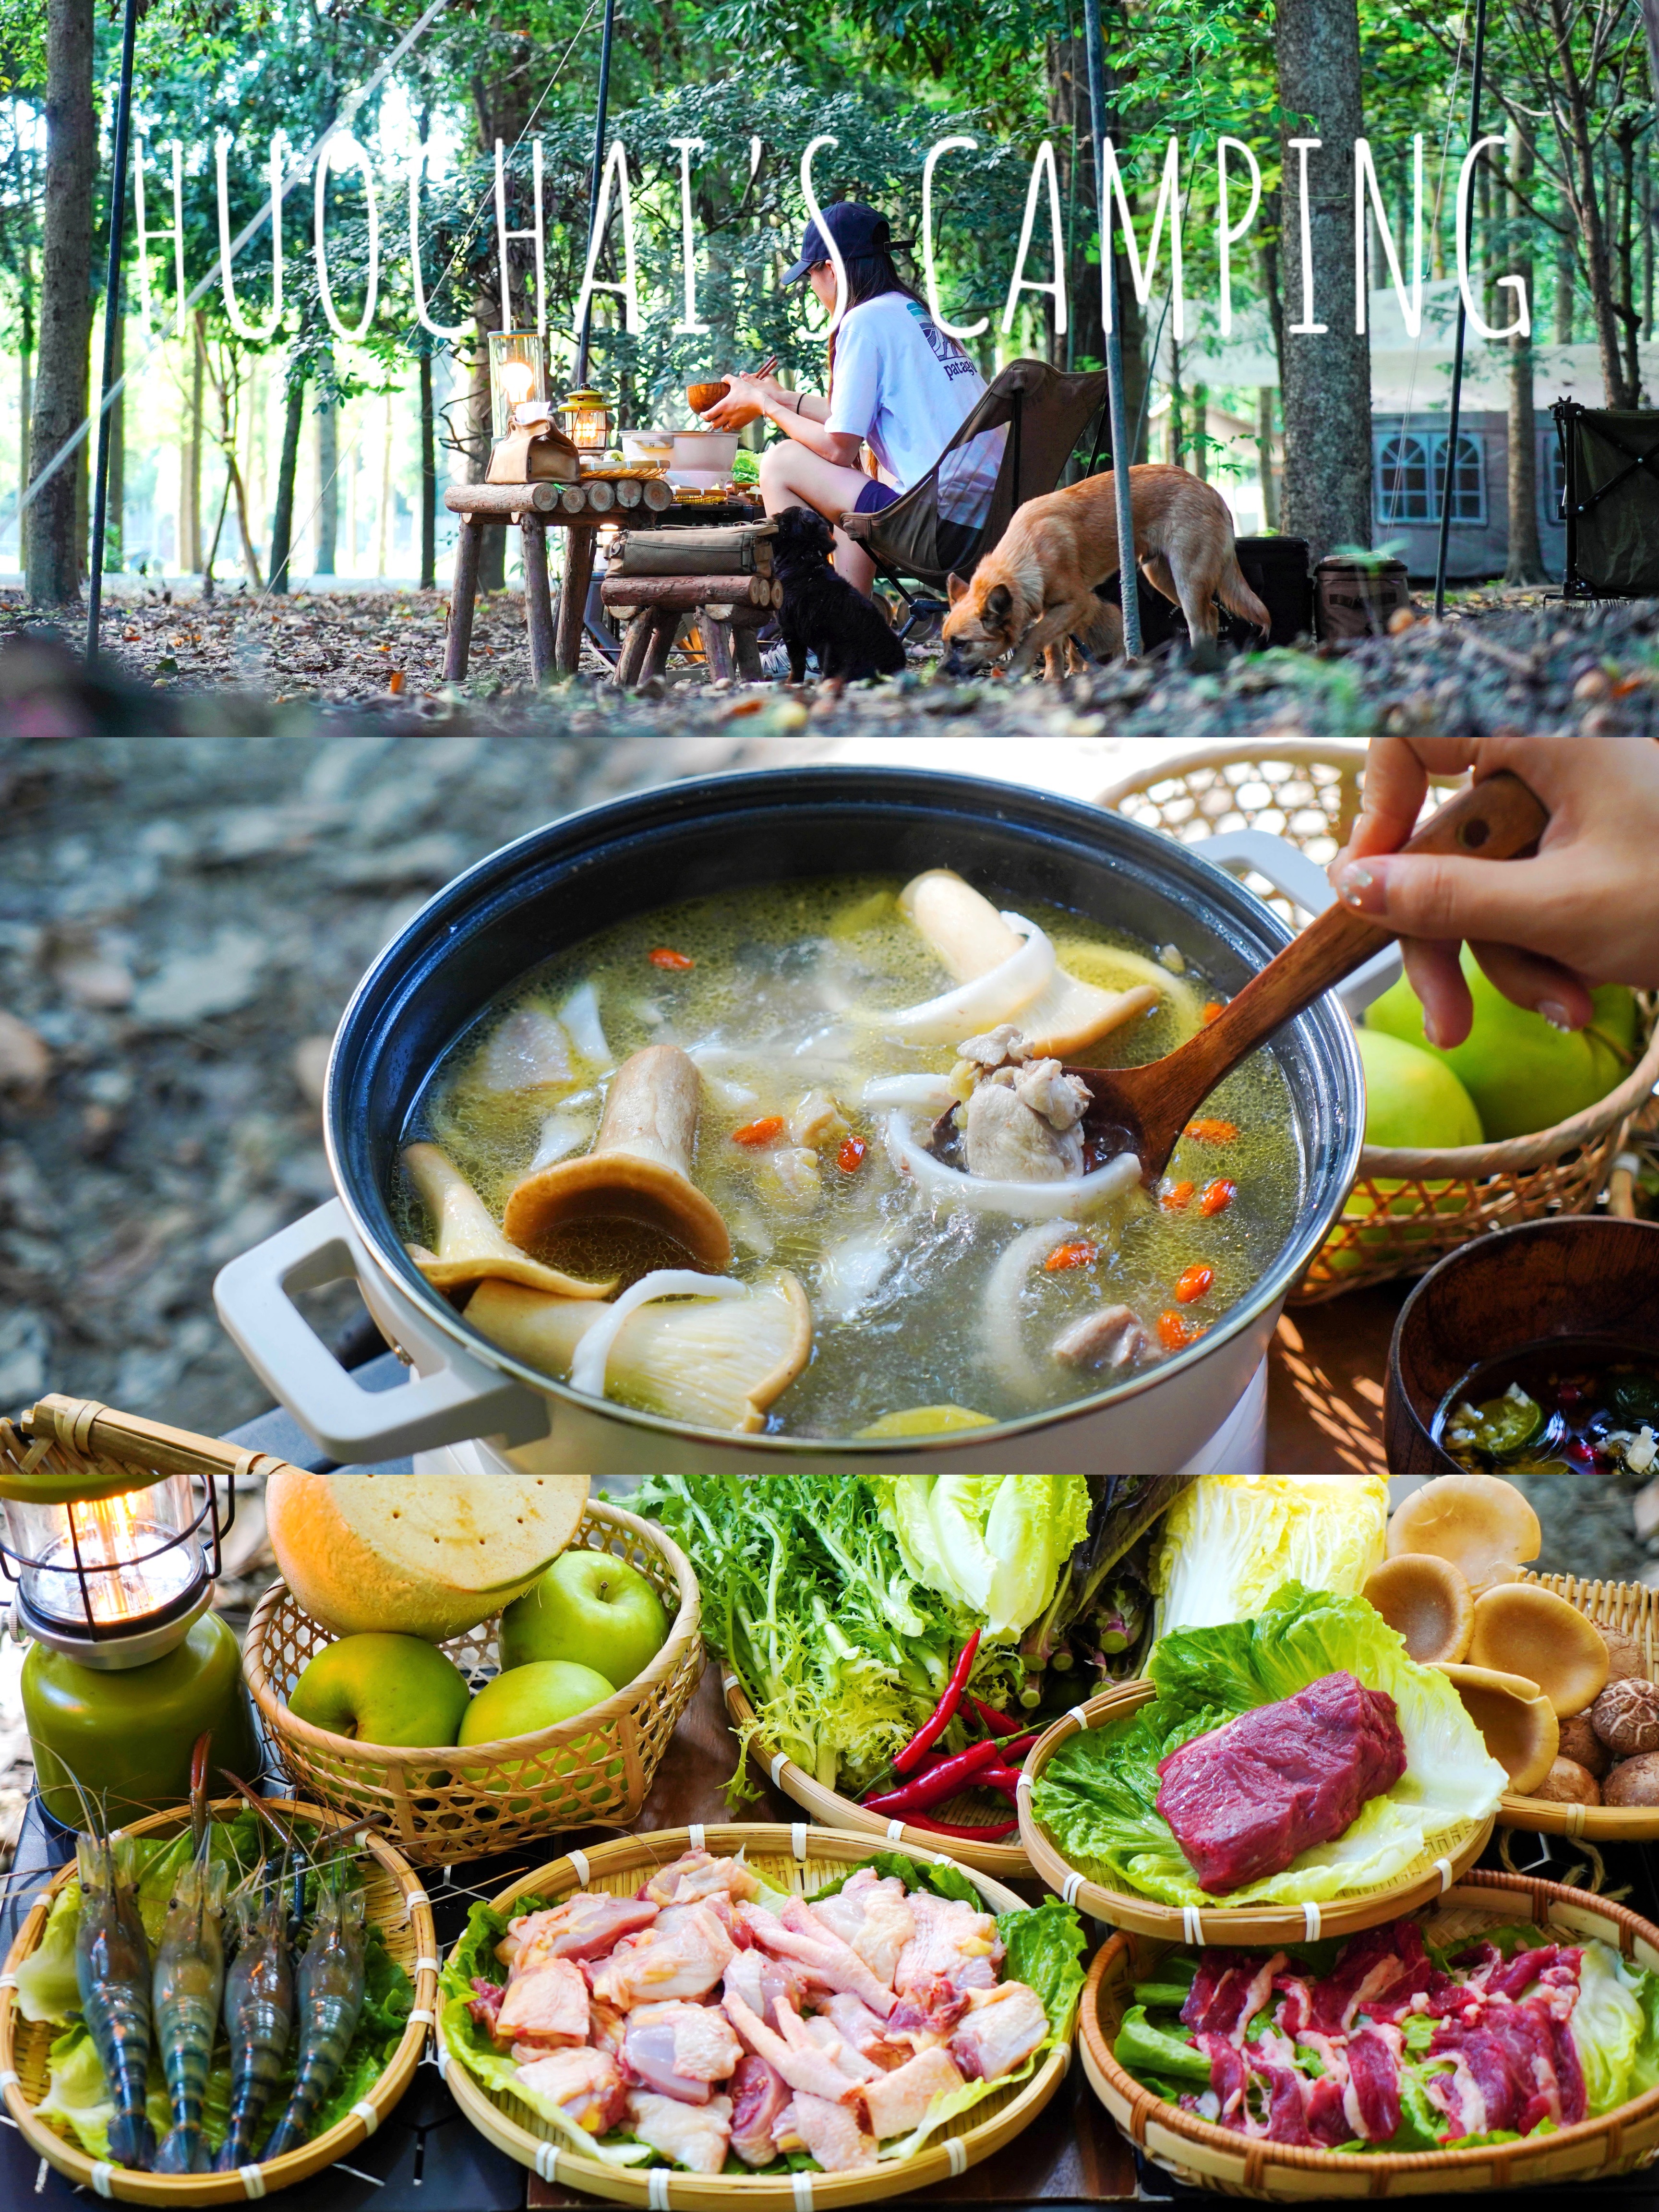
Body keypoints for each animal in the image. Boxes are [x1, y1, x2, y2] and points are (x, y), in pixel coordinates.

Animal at [769, 506, 902, 685]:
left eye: (783, 521)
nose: (773, 517)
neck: (804, 560)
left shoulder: (790, 630)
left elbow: (796, 662)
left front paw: (792, 682)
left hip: (830, 650)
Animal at [947, 462, 1274, 677]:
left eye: (961, 645)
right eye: (946, 642)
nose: (943, 676)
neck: (1027, 552)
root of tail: (1212, 492)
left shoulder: (1075, 603)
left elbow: (1034, 637)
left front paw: (1019, 669)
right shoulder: (1050, 609)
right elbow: (1053, 649)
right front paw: (1053, 683)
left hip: (1186, 580)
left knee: (1201, 622)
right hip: (1161, 578)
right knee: (1213, 613)